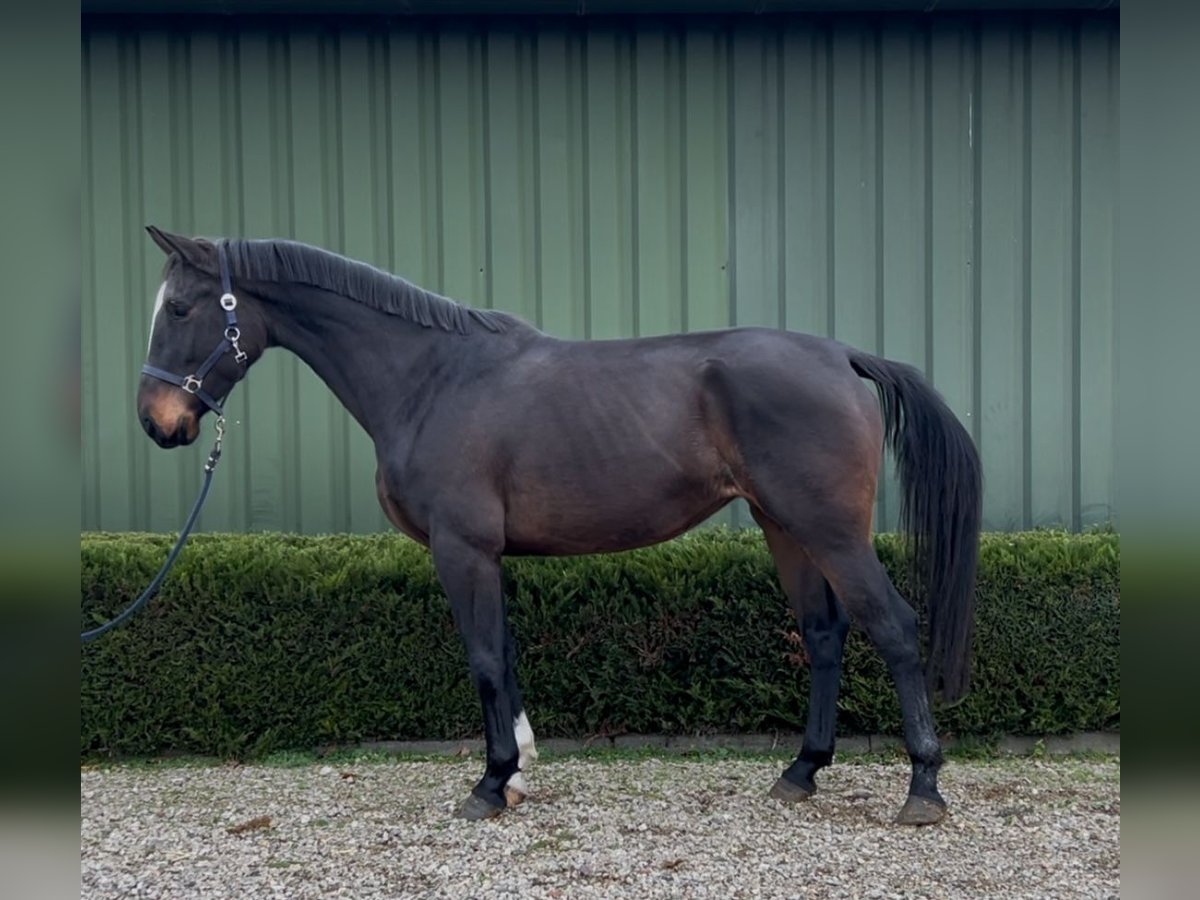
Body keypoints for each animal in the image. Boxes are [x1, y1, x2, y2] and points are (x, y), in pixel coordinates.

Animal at [136, 229, 979, 830]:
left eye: (180, 308)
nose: (157, 422)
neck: (430, 378)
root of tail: (842, 357)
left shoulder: (463, 549)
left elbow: (482, 659)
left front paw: (488, 783)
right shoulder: (488, 556)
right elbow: (505, 655)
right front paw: (516, 773)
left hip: (830, 531)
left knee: (894, 627)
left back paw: (923, 789)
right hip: (786, 527)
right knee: (824, 634)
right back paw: (801, 772)